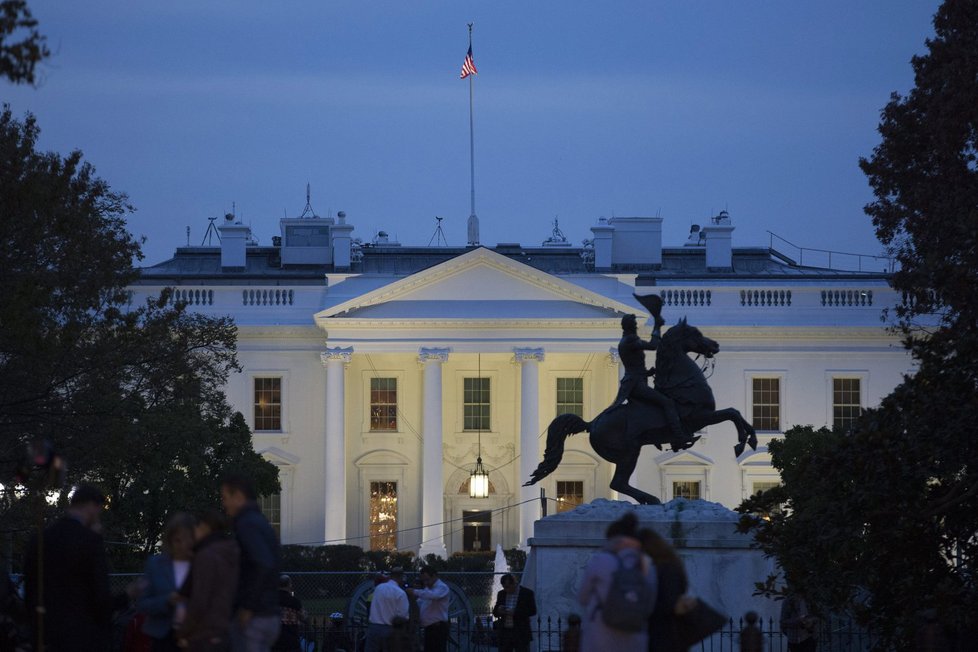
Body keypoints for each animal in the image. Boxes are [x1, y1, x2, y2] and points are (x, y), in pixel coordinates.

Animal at [524, 318, 760, 506]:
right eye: (696, 333)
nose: (716, 344)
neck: (685, 383)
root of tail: (592, 423)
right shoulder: (699, 417)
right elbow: (732, 413)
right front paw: (742, 441)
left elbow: (735, 413)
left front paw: (750, 438)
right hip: (629, 451)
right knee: (618, 482)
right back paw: (651, 499)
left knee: (620, 482)